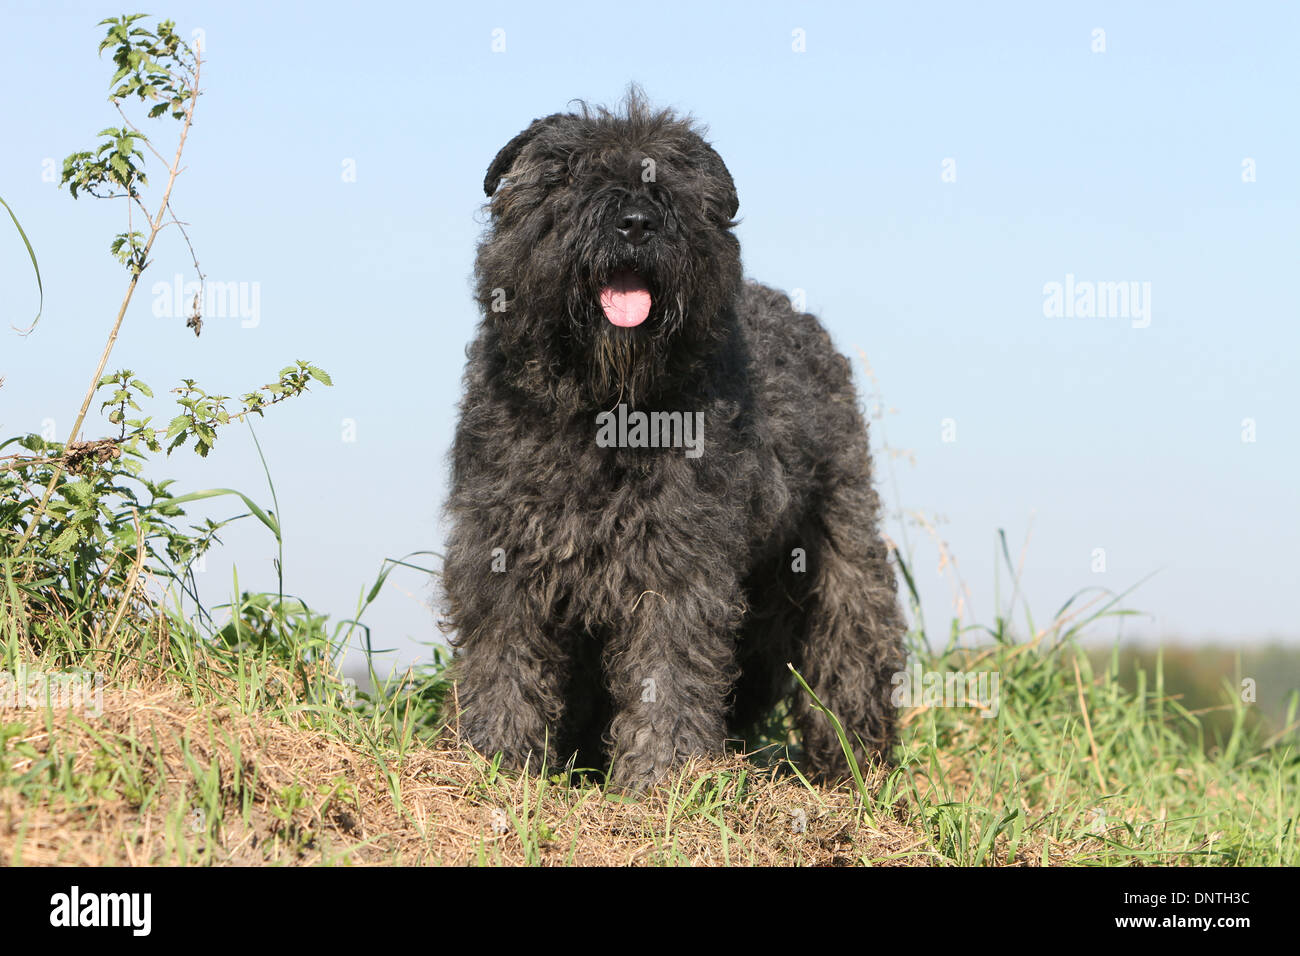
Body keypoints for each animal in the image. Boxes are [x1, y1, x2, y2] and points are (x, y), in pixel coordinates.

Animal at [439, 91, 904, 790]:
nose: (635, 223)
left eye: (674, 183)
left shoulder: (677, 560)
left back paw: (855, 766)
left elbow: (670, 670)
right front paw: (497, 759)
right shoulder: (503, 549)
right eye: (569, 174)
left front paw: (663, 778)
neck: (603, 408)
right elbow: (504, 658)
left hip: (837, 550)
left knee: (851, 643)